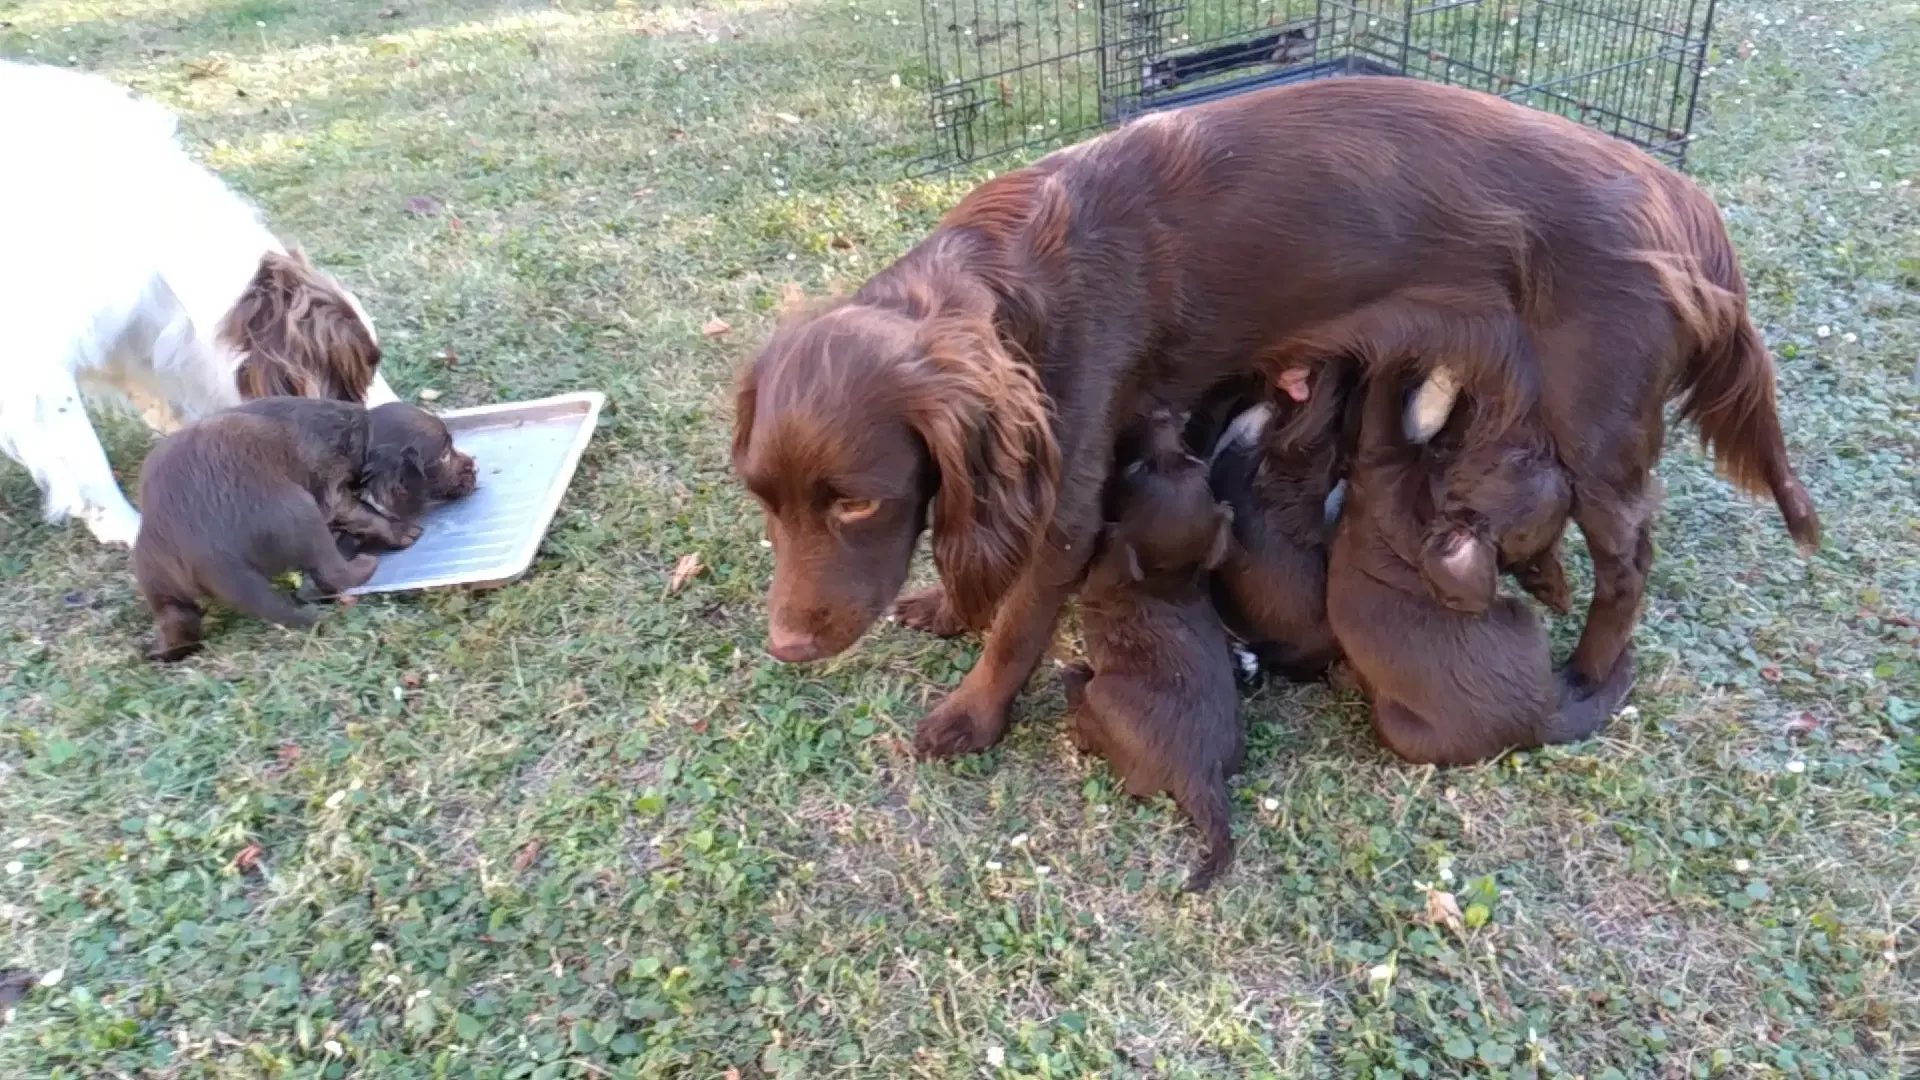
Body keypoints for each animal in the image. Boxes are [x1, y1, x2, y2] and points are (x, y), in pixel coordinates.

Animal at [1336, 368, 1635, 764]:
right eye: (1520, 461)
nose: (1555, 458)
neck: (1429, 508)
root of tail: (1534, 723)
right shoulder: (1380, 461)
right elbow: (1384, 397)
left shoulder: (1379, 462)